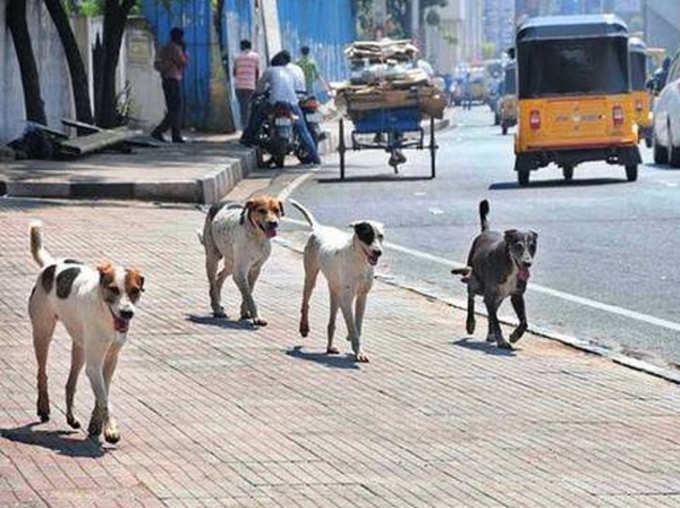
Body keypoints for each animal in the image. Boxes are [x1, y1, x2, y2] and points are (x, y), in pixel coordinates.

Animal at [27, 221, 144, 440]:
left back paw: (71, 417)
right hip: (42, 332)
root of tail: (50, 265)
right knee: (42, 373)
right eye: (113, 289)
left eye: (135, 291)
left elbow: (103, 394)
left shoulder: (110, 359)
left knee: (70, 383)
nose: (127, 313)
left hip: (80, 347)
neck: (106, 315)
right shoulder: (94, 364)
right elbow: (105, 399)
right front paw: (111, 429)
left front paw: (97, 424)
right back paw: (44, 407)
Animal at [198, 194, 282, 326]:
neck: (257, 237)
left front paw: (244, 312)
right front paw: (257, 317)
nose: (273, 223)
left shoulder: (255, 269)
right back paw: (217, 308)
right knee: (212, 282)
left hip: (231, 263)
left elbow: (249, 292)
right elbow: (249, 296)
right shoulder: (240, 272)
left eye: (276, 210)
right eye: (262, 210)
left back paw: (218, 303)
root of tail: (219, 202)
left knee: (219, 277)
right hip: (213, 258)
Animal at [286, 198, 386, 362]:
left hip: (334, 291)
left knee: (331, 322)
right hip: (311, 277)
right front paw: (358, 351)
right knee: (305, 303)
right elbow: (353, 327)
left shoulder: (362, 296)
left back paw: (330, 346)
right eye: (367, 235)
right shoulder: (347, 299)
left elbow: (358, 325)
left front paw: (354, 343)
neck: (360, 261)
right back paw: (304, 327)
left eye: (381, 236)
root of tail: (318, 229)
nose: (378, 252)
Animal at [452, 200, 536, 348]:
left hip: (499, 296)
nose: (527, 263)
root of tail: (486, 231)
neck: (511, 266)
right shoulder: (490, 294)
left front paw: (514, 336)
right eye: (518, 246)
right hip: (475, 281)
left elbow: (524, 322)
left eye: (532, 246)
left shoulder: (517, 295)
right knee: (471, 297)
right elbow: (496, 321)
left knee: (492, 311)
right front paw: (502, 340)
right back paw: (471, 324)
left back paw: (490, 334)